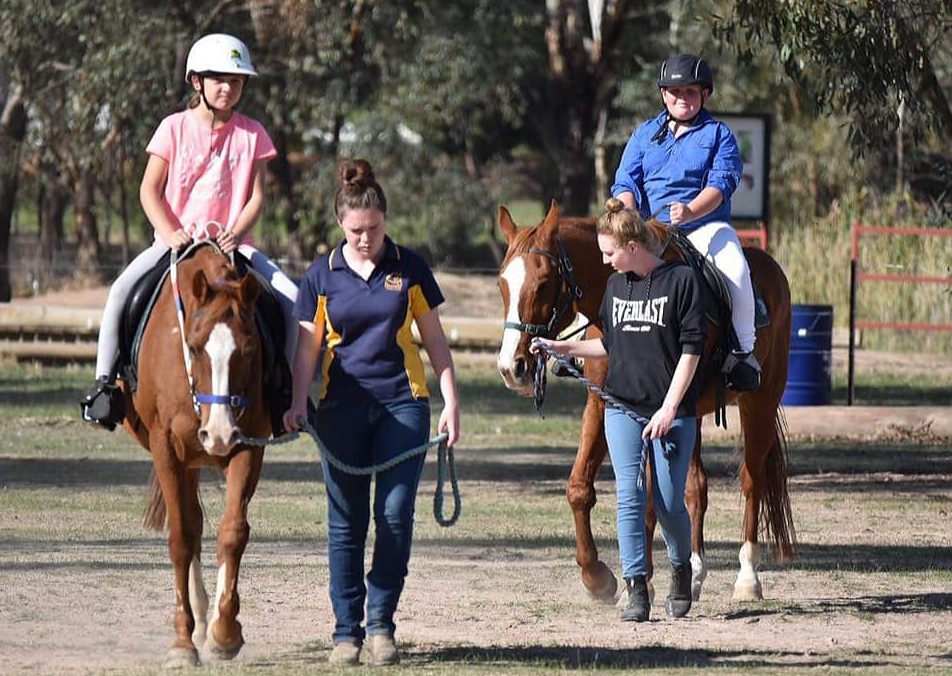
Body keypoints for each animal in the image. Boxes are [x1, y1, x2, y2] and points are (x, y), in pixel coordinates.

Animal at [119, 242, 270, 664]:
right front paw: (182, 643)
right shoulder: (166, 449)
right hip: (183, 459)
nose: (217, 433)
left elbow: (232, 532)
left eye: (249, 350)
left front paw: (225, 632)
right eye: (194, 346)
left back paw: (208, 623)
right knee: (188, 522)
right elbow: (181, 539)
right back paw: (196, 624)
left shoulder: (248, 445)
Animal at [498, 199, 796, 604]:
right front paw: (598, 577)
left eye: (543, 283)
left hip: (759, 402)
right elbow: (580, 488)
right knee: (695, 486)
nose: (511, 368)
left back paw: (747, 579)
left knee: (752, 482)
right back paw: (696, 571)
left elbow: (652, 500)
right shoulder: (605, 403)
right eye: (501, 283)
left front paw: (643, 582)